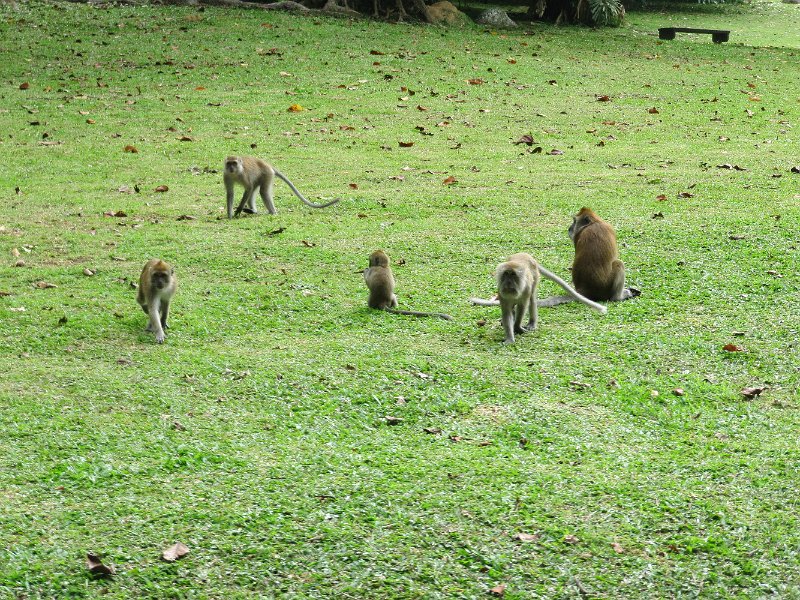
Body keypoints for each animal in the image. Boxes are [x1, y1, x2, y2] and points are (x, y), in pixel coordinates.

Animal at [468, 253, 608, 344]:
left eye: (512, 275)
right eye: (506, 274)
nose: (508, 282)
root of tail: (528, 256)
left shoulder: (525, 289)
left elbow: (523, 306)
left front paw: (517, 327)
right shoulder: (502, 293)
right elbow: (507, 312)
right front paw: (510, 337)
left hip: (535, 278)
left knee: (531, 300)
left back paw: (532, 323)